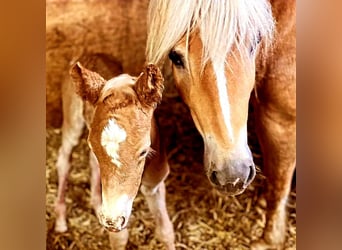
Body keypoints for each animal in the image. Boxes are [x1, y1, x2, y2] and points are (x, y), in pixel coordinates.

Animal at [55, 58, 176, 248]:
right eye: (92, 145)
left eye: (143, 151)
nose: (111, 219)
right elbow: (119, 239)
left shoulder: (155, 181)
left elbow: (165, 231)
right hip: (72, 118)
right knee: (64, 159)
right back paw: (60, 220)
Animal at [146, 0, 296, 249]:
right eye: (176, 57)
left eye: (255, 42)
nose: (233, 174)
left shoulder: (281, 121)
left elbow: (278, 183)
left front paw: (269, 239)